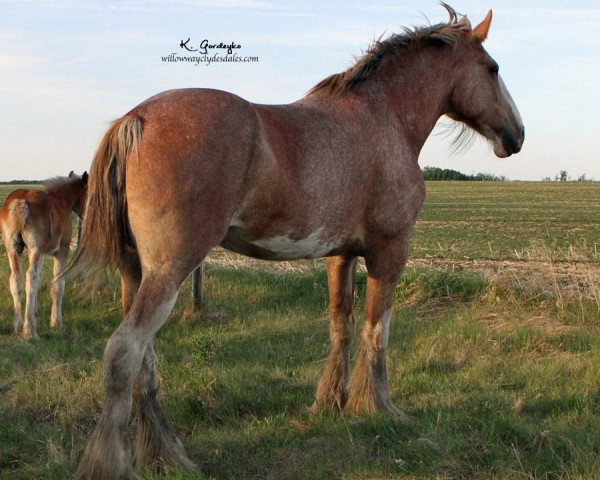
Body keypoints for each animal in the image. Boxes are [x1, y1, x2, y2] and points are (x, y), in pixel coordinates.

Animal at [0, 172, 88, 338]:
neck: (62, 201)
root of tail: (20, 202)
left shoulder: (39, 253)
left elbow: (40, 279)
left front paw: (35, 312)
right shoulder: (61, 251)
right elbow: (58, 284)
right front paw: (56, 321)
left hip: (13, 249)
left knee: (16, 279)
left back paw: (18, 325)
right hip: (36, 248)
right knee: (31, 277)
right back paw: (30, 329)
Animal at [69, 5, 520, 478]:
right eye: (493, 68)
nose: (517, 135)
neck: (383, 118)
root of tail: (135, 118)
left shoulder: (340, 256)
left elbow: (341, 325)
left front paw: (331, 402)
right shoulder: (389, 251)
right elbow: (377, 329)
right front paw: (378, 407)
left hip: (135, 271)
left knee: (145, 361)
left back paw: (166, 452)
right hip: (169, 270)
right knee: (125, 352)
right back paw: (116, 461)